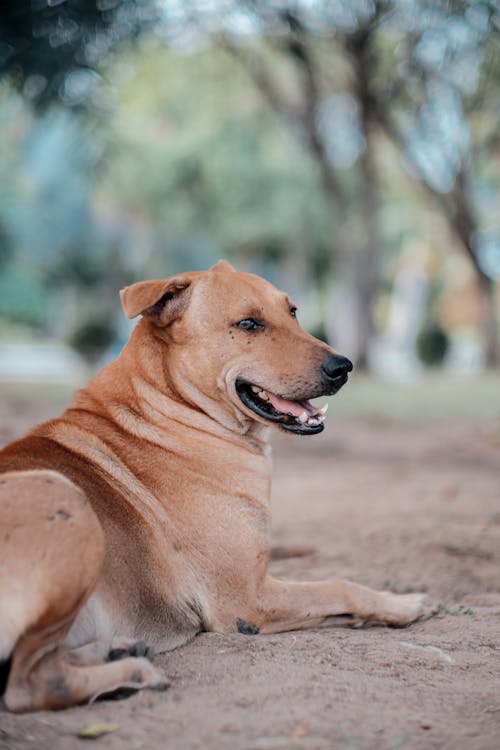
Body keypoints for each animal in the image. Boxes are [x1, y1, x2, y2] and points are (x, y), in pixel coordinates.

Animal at [0, 262, 432, 712]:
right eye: (248, 324)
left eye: (292, 312)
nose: (343, 366)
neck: (171, 409)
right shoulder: (247, 601)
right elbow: (339, 585)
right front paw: (401, 603)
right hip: (60, 494)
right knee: (31, 683)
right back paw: (130, 673)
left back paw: (116, 651)